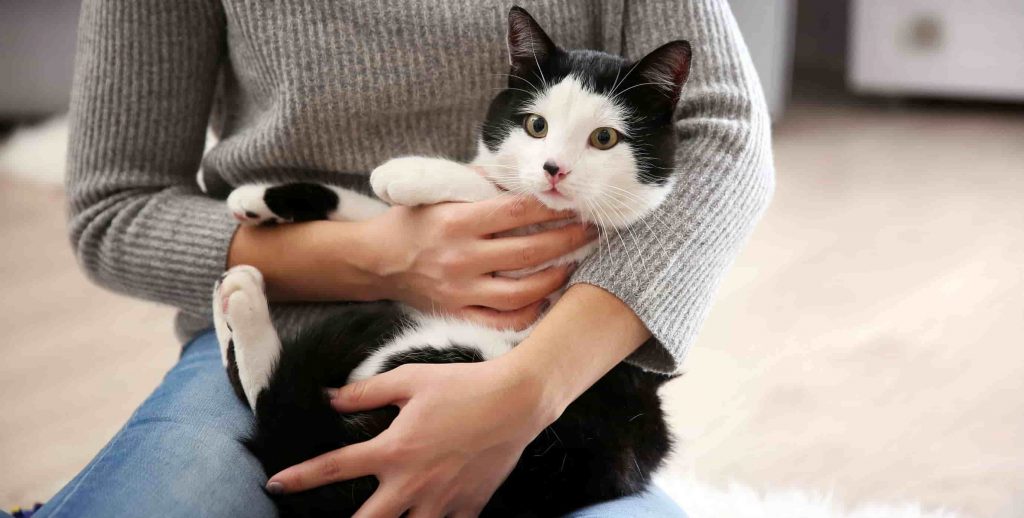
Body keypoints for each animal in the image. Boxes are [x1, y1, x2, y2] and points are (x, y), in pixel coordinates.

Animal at [211, 8, 688, 518]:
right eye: (535, 126)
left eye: (604, 138)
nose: (554, 169)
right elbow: (377, 219)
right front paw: (260, 199)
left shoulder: (550, 260)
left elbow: (494, 192)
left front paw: (407, 173)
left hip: (444, 357)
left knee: (279, 410)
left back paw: (242, 300)